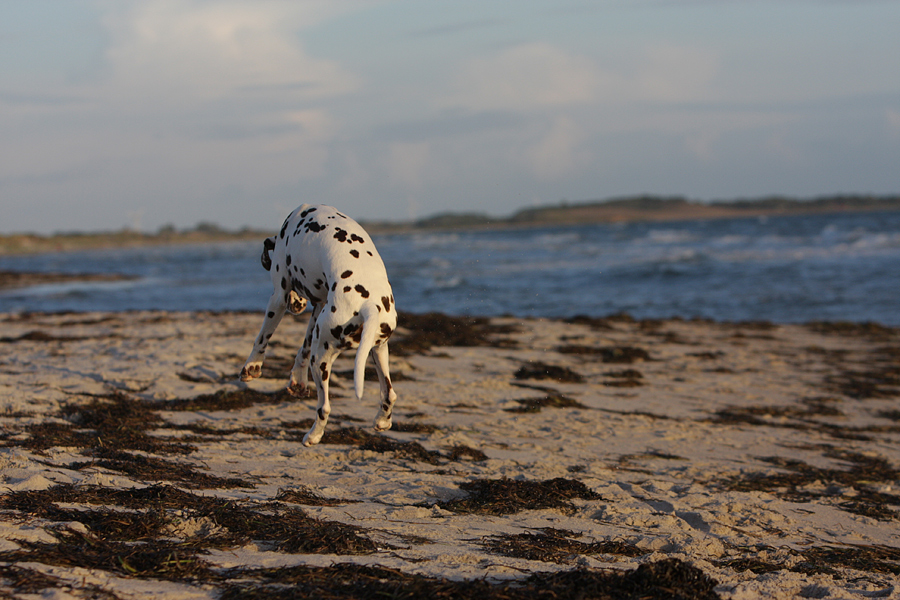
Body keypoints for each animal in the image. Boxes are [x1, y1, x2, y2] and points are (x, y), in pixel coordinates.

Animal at [239, 206, 398, 446]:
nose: (297, 305)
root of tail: (368, 305)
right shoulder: (318, 307)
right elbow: (303, 348)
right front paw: (298, 379)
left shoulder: (278, 297)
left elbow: (262, 337)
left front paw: (252, 367)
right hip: (376, 350)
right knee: (389, 394)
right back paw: (382, 421)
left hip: (322, 359)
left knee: (324, 407)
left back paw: (313, 436)